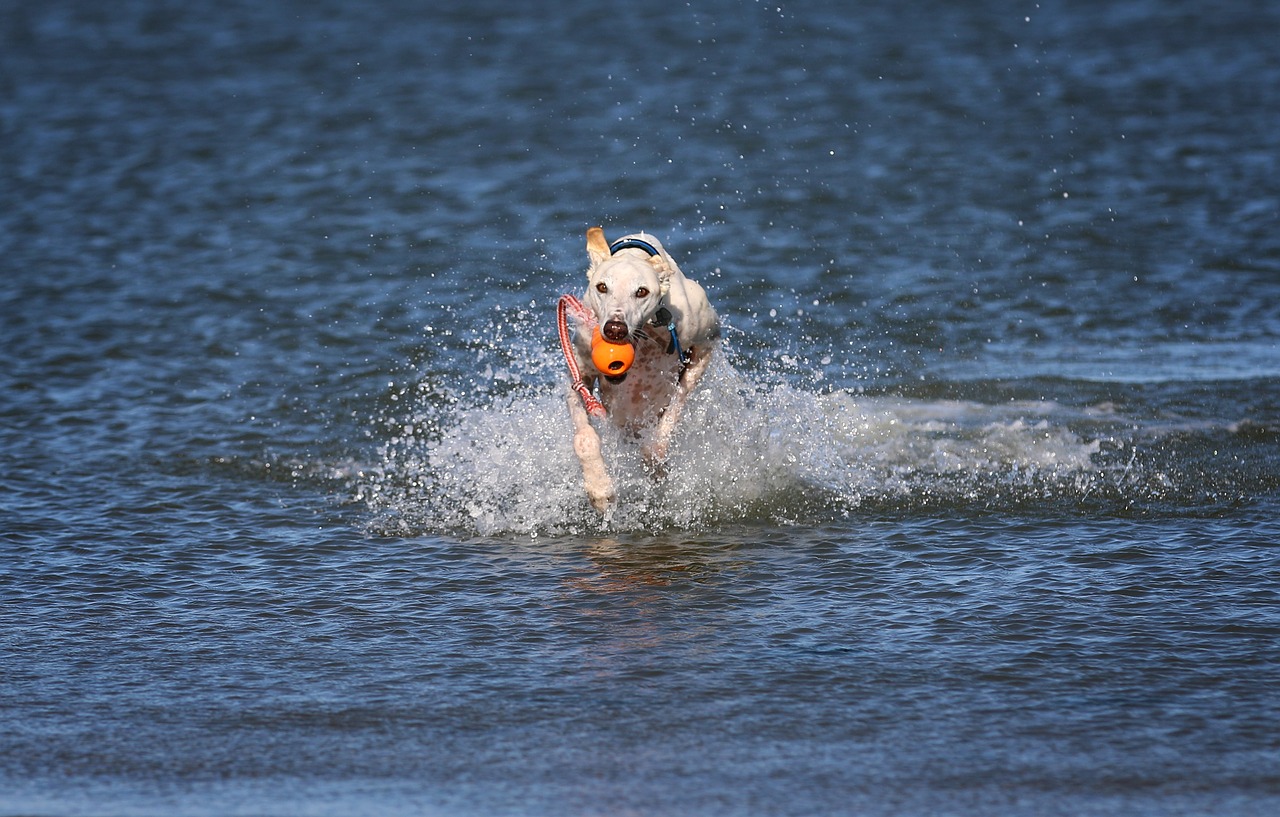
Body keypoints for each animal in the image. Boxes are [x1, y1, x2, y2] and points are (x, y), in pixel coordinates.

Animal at [560, 227, 721, 514]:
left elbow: (672, 413)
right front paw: (600, 488)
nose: (615, 328)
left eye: (642, 291)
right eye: (602, 287)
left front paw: (656, 464)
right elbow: (583, 438)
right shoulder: (579, 374)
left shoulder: (707, 343)